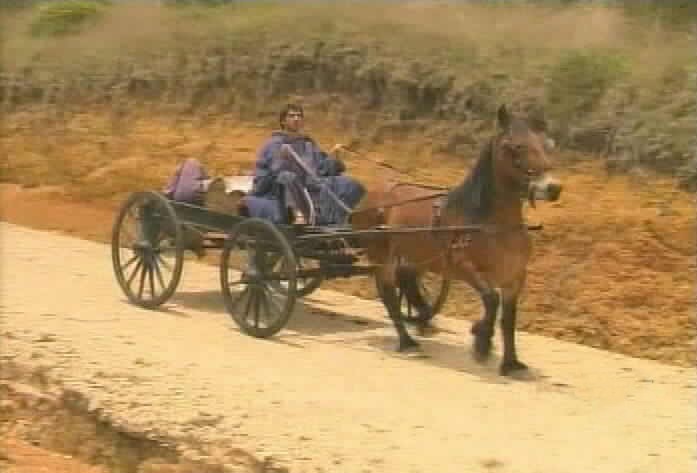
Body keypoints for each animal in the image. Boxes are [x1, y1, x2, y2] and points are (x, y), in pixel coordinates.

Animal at [354, 105, 560, 374]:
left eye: (548, 145)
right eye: (515, 146)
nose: (553, 187)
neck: (492, 225)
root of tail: (369, 196)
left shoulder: (514, 277)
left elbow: (509, 319)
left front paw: (510, 363)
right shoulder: (464, 268)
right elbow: (491, 300)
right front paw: (481, 341)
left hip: (412, 257)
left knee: (406, 282)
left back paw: (421, 321)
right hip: (381, 256)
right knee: (389, 295)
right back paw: (407, 342)